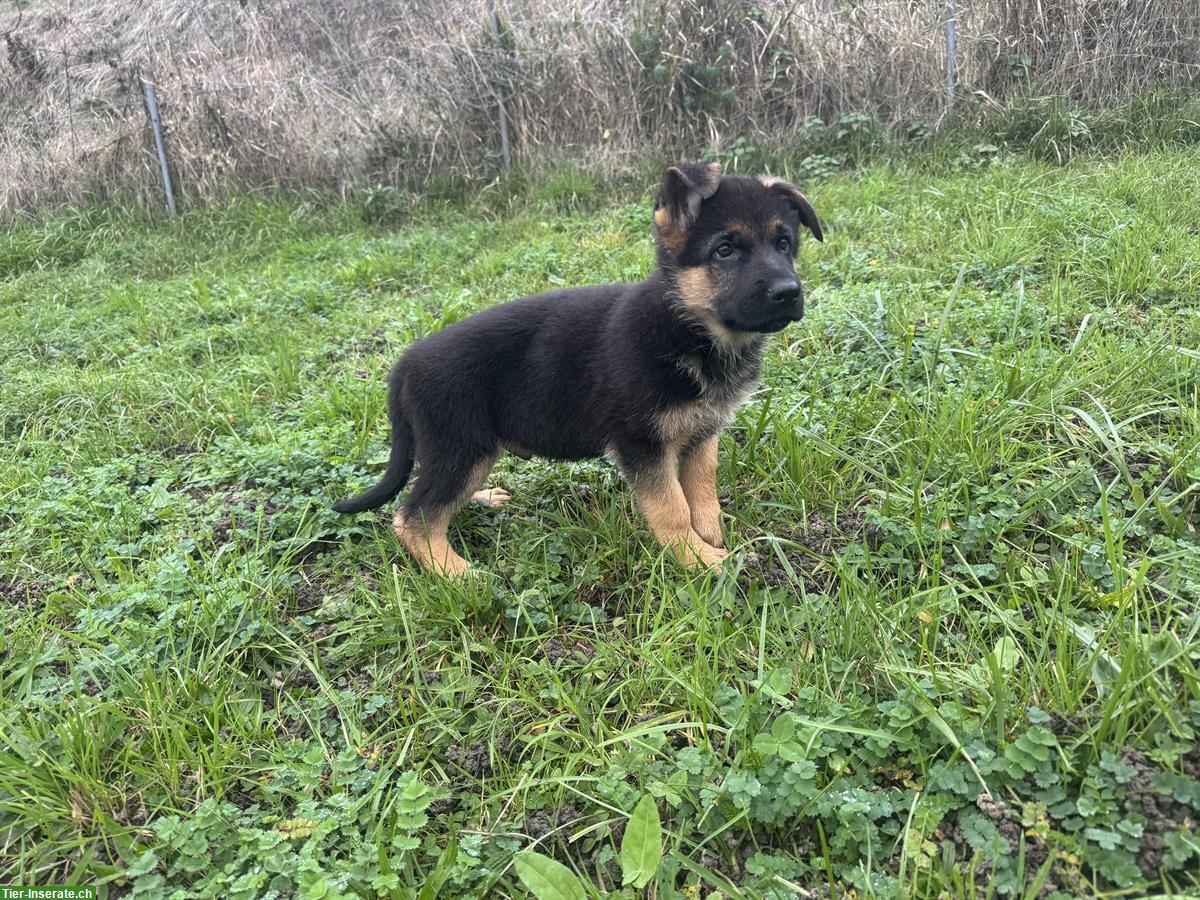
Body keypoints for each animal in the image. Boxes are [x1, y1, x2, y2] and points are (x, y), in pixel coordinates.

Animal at [338, 163, 825, 578]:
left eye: (784, 244)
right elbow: (672, 507)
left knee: (432, 498)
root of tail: (404, 365)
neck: (686, 327)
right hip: (461, 446)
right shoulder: (642, 444)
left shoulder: (702, 434)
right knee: (412, 516)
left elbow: (703, 494)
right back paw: (454, 572)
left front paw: (716, 538)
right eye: (724, 250)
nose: (789, 292)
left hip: (467, 451)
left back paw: (481, 500)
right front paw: (697, 558)